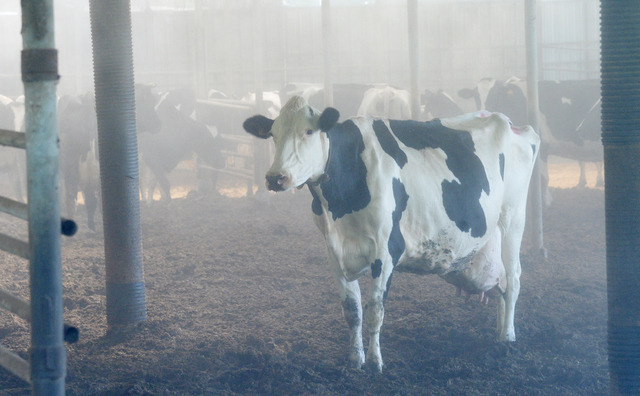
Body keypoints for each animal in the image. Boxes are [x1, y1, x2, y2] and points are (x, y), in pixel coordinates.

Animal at [244, 95, 540, 372]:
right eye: (273, 134)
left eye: (308, 131)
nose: (275, 177)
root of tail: (511, 123)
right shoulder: (334, 251)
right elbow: (352, 310)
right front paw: (355, 360)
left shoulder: (386, 250)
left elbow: (375, 310)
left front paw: (375, 362)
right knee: (501, 286)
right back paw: (499, 331)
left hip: (513, 218)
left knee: (513, 279)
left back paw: (508, 337)